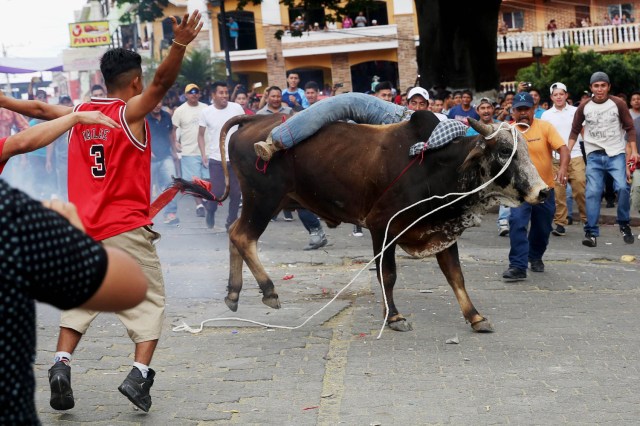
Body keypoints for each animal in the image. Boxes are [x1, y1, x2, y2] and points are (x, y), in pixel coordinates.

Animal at [216, 112, 544, 332]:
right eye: (505, 151)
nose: (543, 191)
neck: (436, 165)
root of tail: (256, 119)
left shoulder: (441, 227)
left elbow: (455, 276)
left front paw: (475, 317)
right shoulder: (381, 226)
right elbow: (387, 275)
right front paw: (394, 316)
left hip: (266, 202)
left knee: (233, 233)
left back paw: (233, 293)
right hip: (263, 200)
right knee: (244, 237)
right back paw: (268, 290)